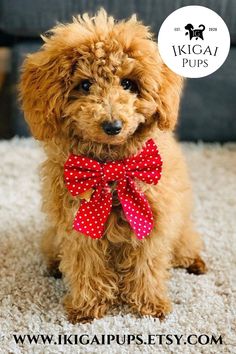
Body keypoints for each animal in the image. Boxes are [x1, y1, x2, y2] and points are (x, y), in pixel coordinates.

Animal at [19, 9, 206, 324]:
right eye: (85, 85)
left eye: (128, 84)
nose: (112, 126)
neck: (112, 167)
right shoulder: (78, 225)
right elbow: (86, 266)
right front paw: (87, 309)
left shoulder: (153, 221)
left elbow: (147, 265)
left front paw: (149, 305)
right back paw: (54, 266)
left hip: (179, 225)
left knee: (186, 242)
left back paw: (194, 261)